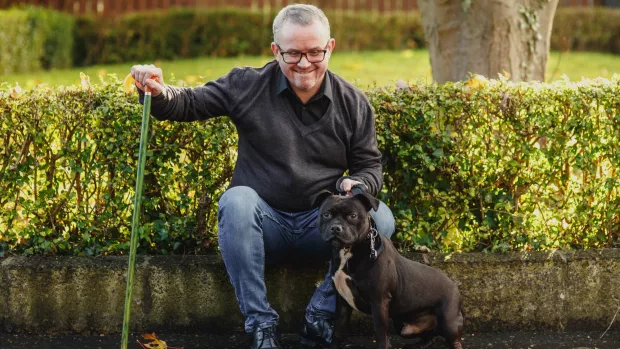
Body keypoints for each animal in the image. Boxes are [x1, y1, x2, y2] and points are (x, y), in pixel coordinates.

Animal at [312, 190, 462, 348]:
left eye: (353, 215)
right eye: (326, 214)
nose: (336, 227)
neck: (348, 252)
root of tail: (455, 286)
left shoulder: (379, 301)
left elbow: (381, 332)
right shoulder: (342, 303)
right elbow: (338, 330)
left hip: (449, 322)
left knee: (454, 340)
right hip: (403, 325)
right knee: (430, 335)